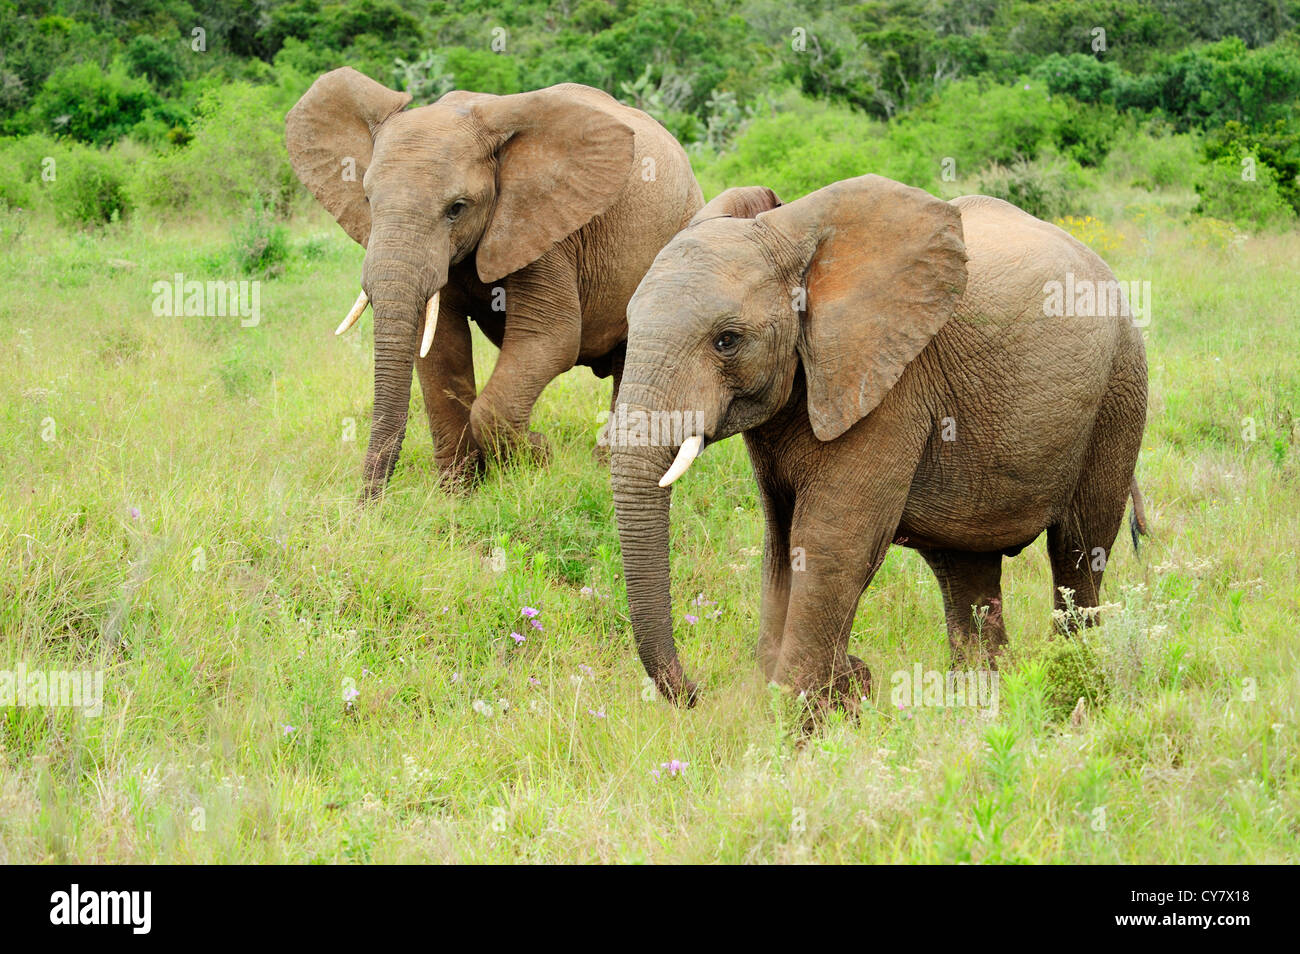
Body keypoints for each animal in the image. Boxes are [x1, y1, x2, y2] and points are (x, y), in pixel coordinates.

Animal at [289, 68, 707, 501]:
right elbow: (439, 346)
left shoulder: (545, 229)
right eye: (368, 200)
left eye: (457, 208)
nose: (368, 505)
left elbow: (549, 338)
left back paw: (602, 464)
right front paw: (459, 492)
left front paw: (538, 457)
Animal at [611, 175, 1149, 717]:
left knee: (1080, 550)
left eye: (727, 340)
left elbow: (832, 543)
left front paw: (797, 717)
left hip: (1118, 391)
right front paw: (820, 701)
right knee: (967, 569)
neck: (796, 241)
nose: (696, 692)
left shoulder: (891, 386)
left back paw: (1074, 686)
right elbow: (781, 543)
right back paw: (979, 705)